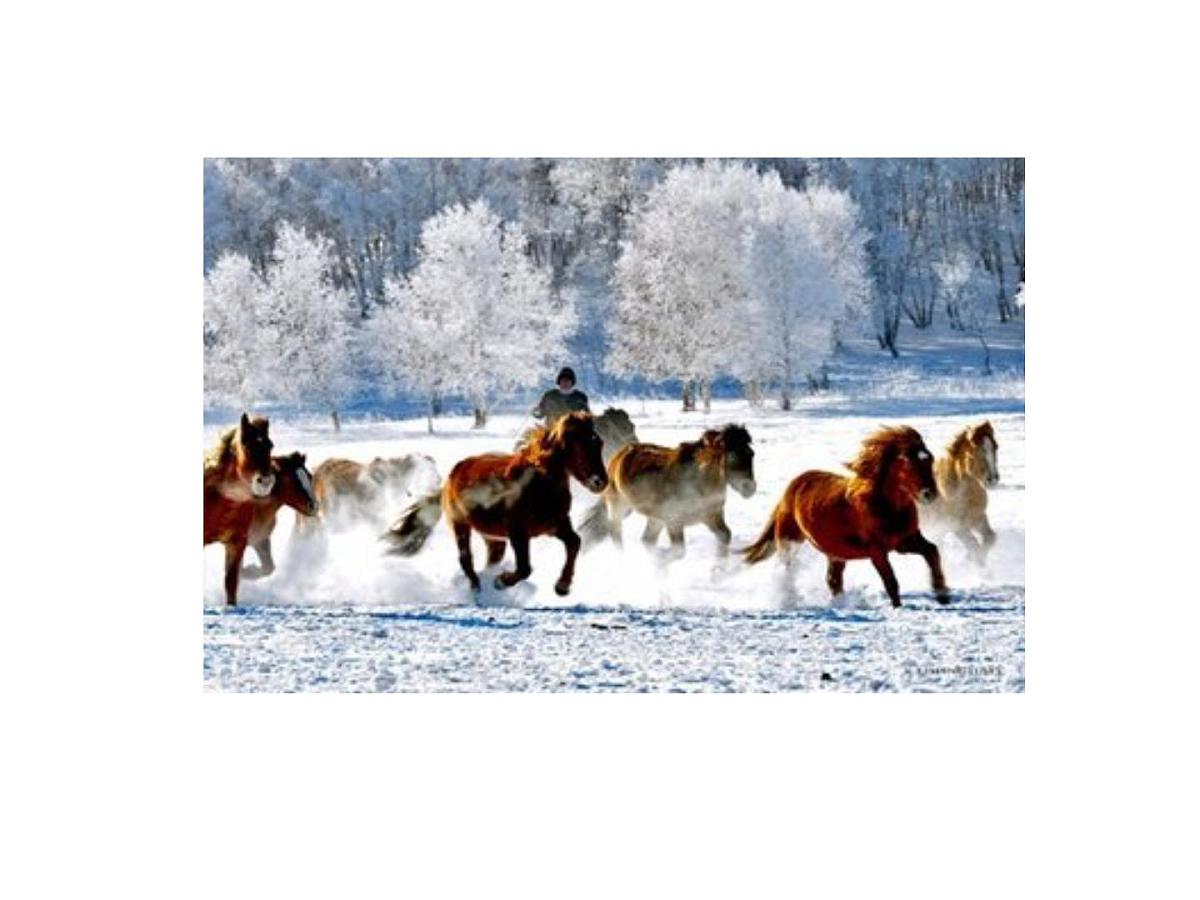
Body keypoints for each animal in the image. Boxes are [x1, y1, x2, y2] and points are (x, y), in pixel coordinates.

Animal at [205, 452, 319, 606]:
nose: (314, 506)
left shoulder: (259, 540)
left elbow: (268, 568)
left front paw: (247, 571)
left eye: (309, 476)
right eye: (291, 480)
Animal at [383, 412, 608, 595]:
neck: (539, 483)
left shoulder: (556, 525)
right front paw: (501, 581)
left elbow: (575, 542)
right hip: (460, 524)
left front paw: (562, 586)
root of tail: (449, 479)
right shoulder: (518, 532)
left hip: (492, 537)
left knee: (491, 559)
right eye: (580, 446)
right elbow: (525, 568)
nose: (600, 482)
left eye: (599, 443)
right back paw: (477, 589)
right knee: (466, 559)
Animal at [579, 424, 756, 559]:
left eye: (751, 454)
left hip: (655, 518)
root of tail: (619, 456)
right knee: (616, 534)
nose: (750, 488)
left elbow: (725, 536)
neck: (700, 481)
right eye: (731, 457)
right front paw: (661, 560)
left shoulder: (711, 516)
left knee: (646, 540)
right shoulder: (674, 521)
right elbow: (679, 551)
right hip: (618, 507)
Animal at [741, 426, 949, 608]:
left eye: (929, 459)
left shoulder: (905, 541)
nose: (929, 493)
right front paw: (898, 607)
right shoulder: (877, 551)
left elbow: (932, 551)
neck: (884, 506)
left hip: (836, 554)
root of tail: (792, 488)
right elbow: (891, 581)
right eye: (907, 462)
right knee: (788, 573)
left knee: (833, 581)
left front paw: (942, 594)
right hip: (789, 541)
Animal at [919, 421, 1000, 564]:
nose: (993, 479)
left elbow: (989, 539)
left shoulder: (978, 518)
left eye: (996, 447)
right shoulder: (956, 526)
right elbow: (973, 545)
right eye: (973, 452)